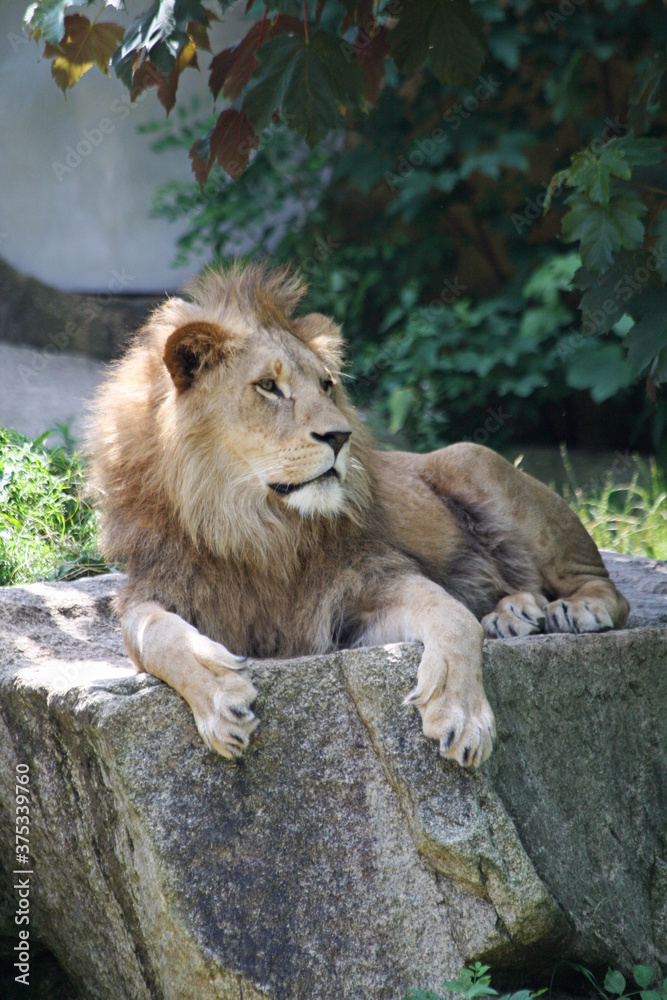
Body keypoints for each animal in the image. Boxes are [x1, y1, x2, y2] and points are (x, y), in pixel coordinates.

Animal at [87, 263, 629, 769]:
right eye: (268, 386)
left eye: (327, 386)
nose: (340, 436)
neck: (254, 525)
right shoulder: (158, 585)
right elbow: (148, 632)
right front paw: (221, 701)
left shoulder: (363, 588)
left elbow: (453, 617)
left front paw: (462, 714)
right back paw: (513, 612)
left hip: (472, 460)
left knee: (605, 588)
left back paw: (577, 609)